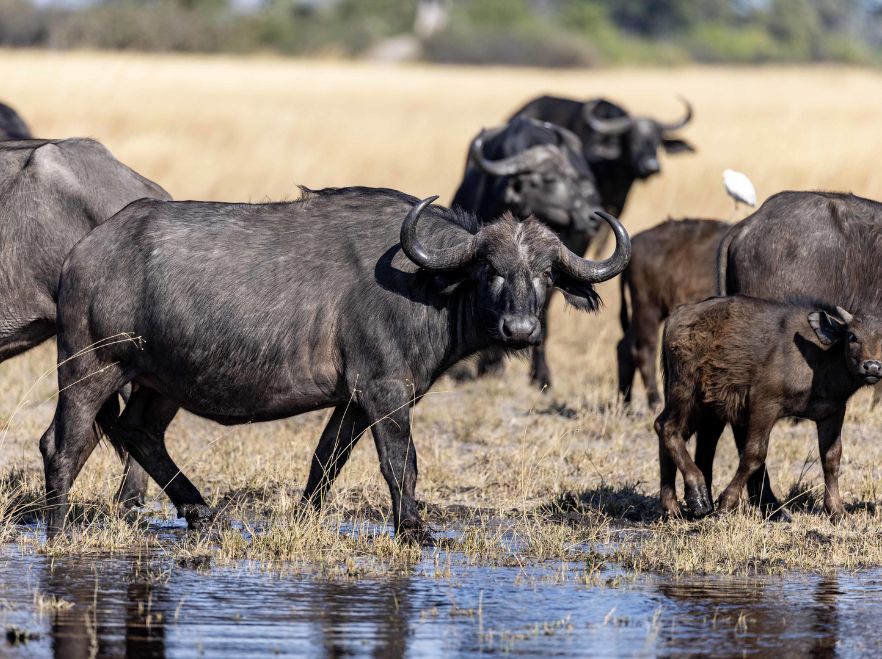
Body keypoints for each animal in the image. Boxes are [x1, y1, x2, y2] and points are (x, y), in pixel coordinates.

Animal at [40, 187, 630, 540]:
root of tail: (86, 249)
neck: (425, 285)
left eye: (546, 275)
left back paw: (202, 511)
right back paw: (59, 526)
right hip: (90, 367)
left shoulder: (352, 401)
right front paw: (414, 529)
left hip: (159, 383)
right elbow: (401, 463)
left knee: (138, 433)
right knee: (63, 443)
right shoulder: (386, 392)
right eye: (490, 269)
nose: (521, 331)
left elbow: (326, 462)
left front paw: (305, 519)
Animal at [451, 117, 605, 387]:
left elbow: (541, 317)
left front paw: (541, 376)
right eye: (549, 178)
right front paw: (491, 366)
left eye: (573, 176)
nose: (592, 215)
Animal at [656, 296, 881, 522]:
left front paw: (837, 511)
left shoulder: (832, 412)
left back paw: (672, 507)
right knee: (666, 427)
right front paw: (726, 503)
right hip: (685, 389)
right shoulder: (764, 404)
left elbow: (831, 458)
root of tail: (677, 315)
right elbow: (754, 454)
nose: (872, 366)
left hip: (703, 404)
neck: (821, 360)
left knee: (672, 433)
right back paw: (697, 494)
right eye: (852, 336)